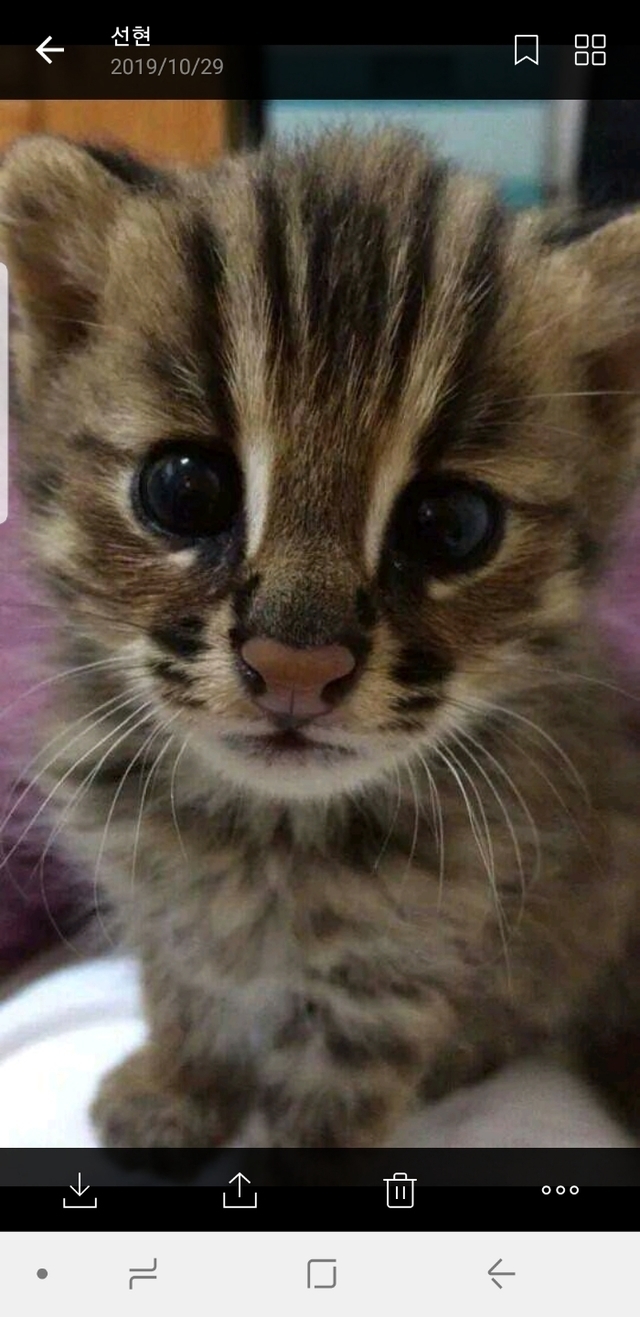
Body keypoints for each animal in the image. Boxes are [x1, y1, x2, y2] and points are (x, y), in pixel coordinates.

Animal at [1, 128, 640, 1148]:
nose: (295, 666)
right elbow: (183, 985)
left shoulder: (398, 969)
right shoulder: (155, 895)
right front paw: (180, 1083)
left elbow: (332, 1107)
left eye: (451, 525)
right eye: (185, 488)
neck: (268, 836)